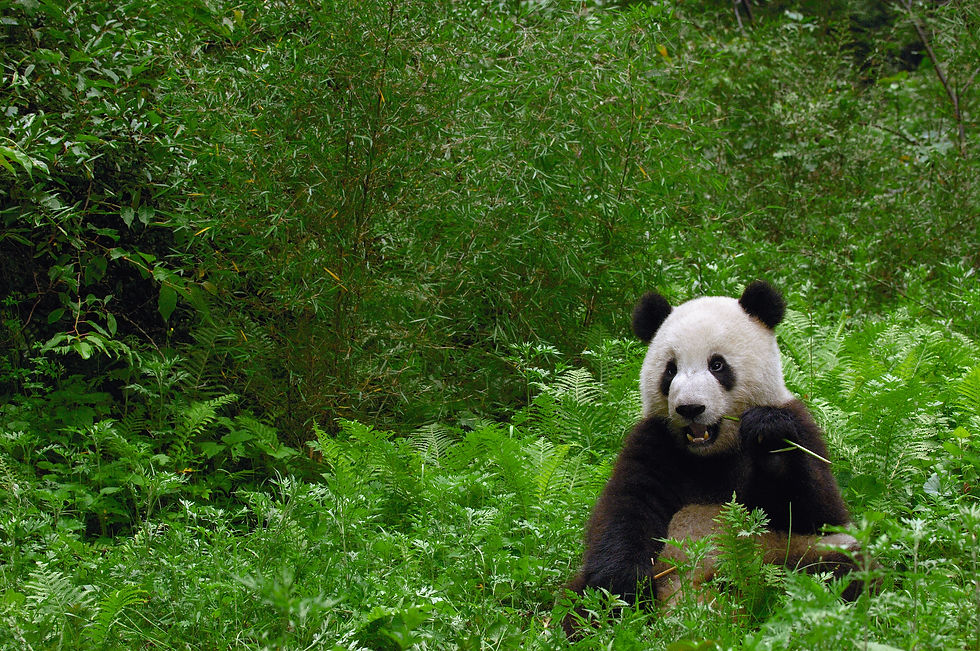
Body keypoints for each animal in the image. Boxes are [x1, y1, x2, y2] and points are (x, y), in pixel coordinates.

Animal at [566, 281, 862, 623]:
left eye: (717, 365)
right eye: (670, 370)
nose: (690, 408)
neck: (711, 453)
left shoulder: (801, 424)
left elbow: (819, 513)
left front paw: (768, 435)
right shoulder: (654, 441)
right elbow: (626, 509)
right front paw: (625, 587)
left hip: (791, 555)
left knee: (838, 567)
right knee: (581, 597)